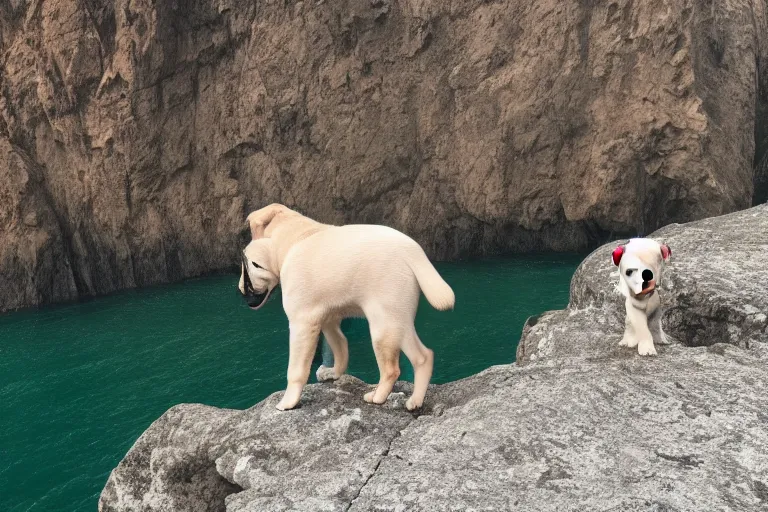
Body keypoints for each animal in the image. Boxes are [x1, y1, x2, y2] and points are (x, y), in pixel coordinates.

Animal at [237, 204, 452, 412]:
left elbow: (296, 370)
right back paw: (415, 400)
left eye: (248, 264)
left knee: (392, 369)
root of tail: (413, 250)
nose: (240, 289)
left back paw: (378, 396)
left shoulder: (302, 323)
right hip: (398, 320)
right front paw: (333, 373)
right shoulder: (328, 320)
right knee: (423, 356)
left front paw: (288, 402)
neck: (295, 239)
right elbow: (340, 345)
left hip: (382, 325)